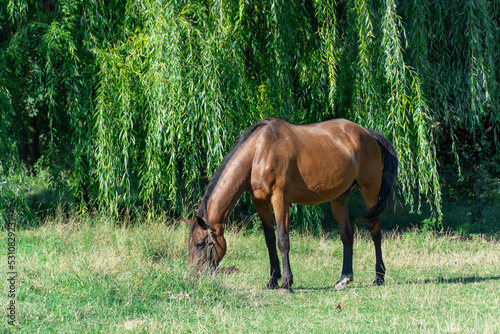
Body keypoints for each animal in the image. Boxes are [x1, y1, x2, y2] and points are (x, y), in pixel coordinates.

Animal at [184, 118, 398, 292]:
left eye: (200, 243)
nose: (193, 275)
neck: (258, 153)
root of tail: (366, 133)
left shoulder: (280, 200)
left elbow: (282, 240)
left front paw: (286, 283)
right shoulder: (260, 202)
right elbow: (270, 240)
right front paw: (272, 280)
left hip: (370, 192)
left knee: (375, 231)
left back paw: (379, 278)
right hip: (339, 198)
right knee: (347, 234)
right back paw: (344, 278)